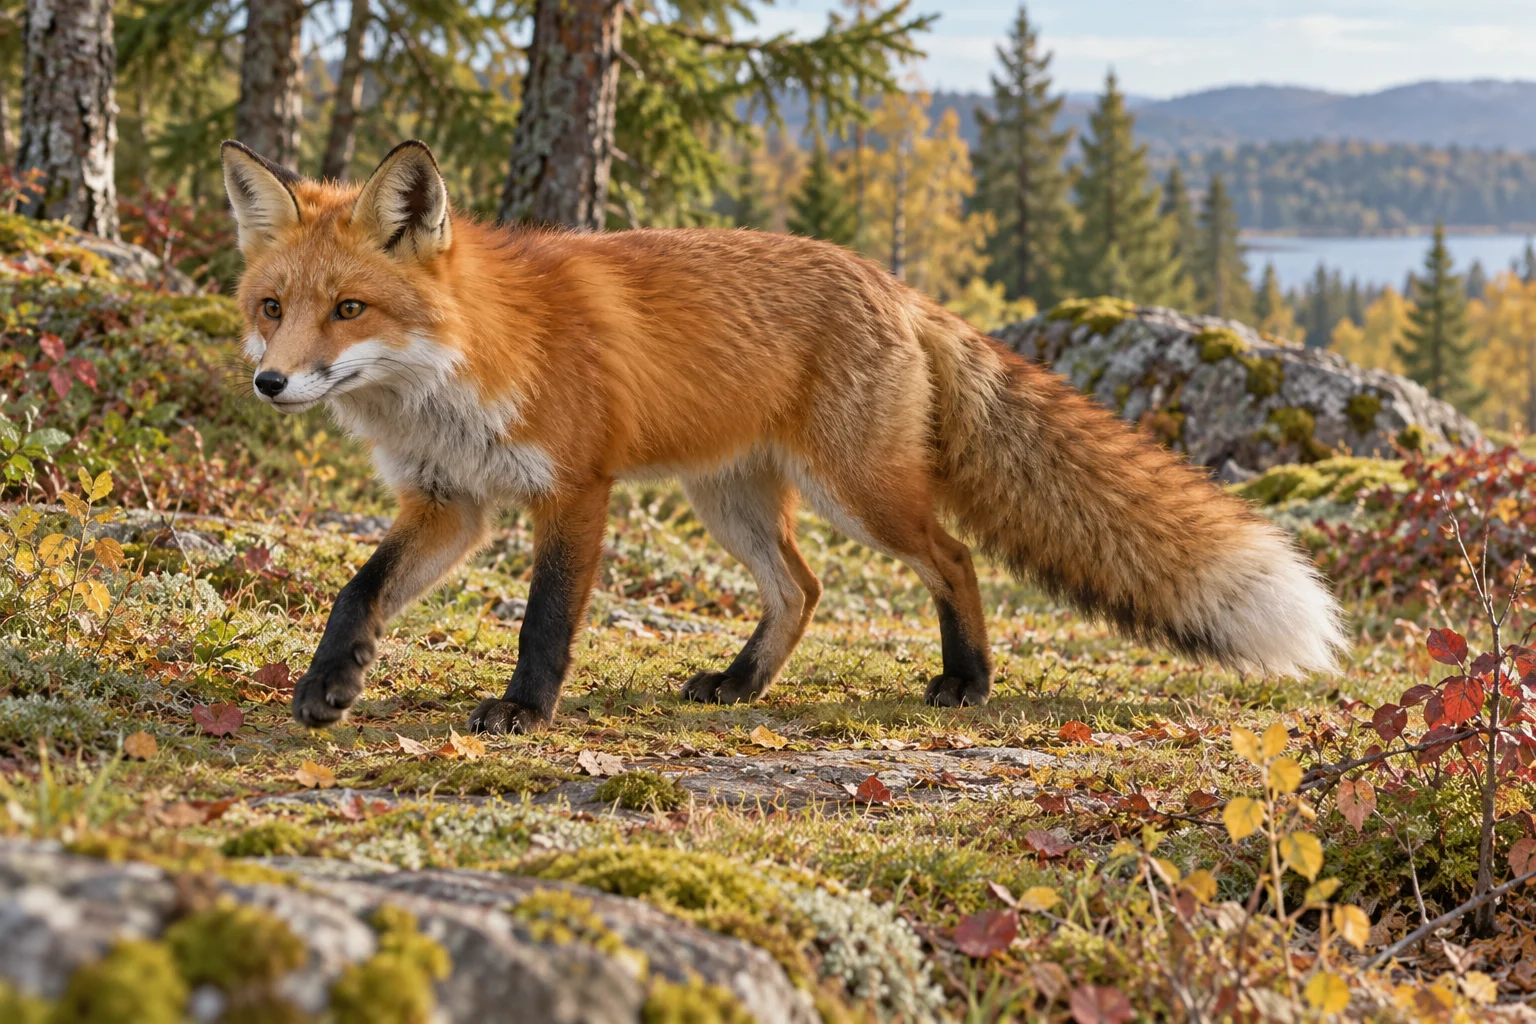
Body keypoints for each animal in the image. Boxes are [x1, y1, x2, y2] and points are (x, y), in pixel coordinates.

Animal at [221, 138, 1347, 735]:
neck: (470, 357)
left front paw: (524, 711)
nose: (270, 382)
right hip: (732, 500)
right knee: (802, 589)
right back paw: (741, 683)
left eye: (351, 309)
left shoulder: (575, 490)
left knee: (955, 557)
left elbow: (546, 622)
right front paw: (328, 684)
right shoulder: (451, 500)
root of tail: (895, 285)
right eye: (273, 306)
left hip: (862, 493)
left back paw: (968, 681)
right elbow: (359, 590)